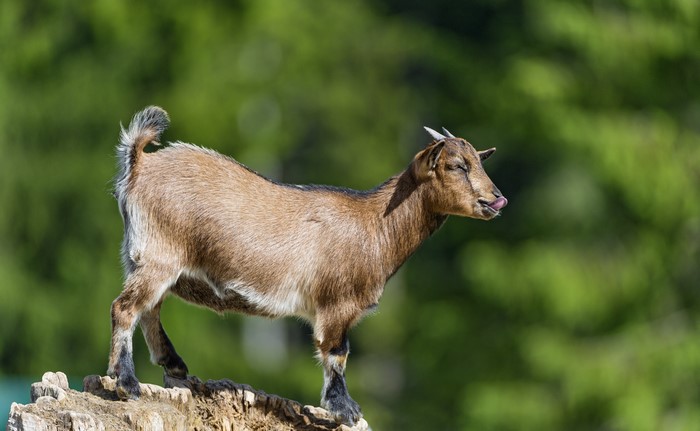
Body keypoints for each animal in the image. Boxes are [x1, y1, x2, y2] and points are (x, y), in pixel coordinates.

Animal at [108, 106, 507, 425]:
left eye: (480, 162)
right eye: (456, 165)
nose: (496, 199)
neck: (375, 224)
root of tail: (140, 163)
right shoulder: (337, 304)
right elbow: (336, 352)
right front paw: (345, 410)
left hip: (143, 259)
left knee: (149, 308)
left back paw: (173, 364)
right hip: (159, 255)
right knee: (125, 308)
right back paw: (126, 382)